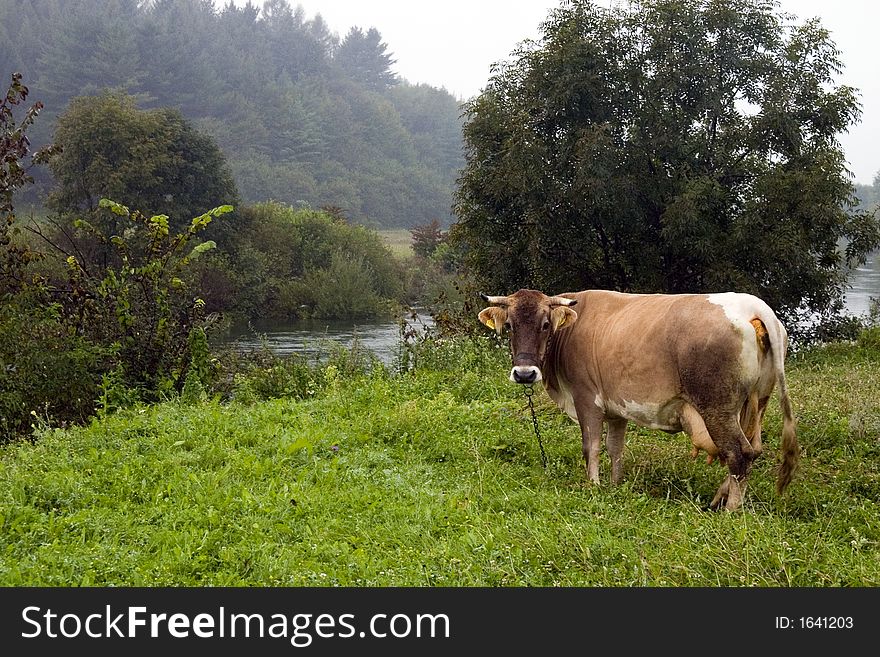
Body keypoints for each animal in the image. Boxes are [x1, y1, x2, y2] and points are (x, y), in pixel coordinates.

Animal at [478, 290, 800, 510]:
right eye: (509, 326)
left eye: (546, 324)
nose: (524, 373)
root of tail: (753, 305)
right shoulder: (616, 408)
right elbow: (615, 448)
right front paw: (615, 485)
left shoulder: (586, 399)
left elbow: (591, 447)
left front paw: (593, 487)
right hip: (757, 402)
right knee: (753, 449)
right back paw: (719, 499)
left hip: (717, 407)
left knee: (738, 453)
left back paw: (730, 511)